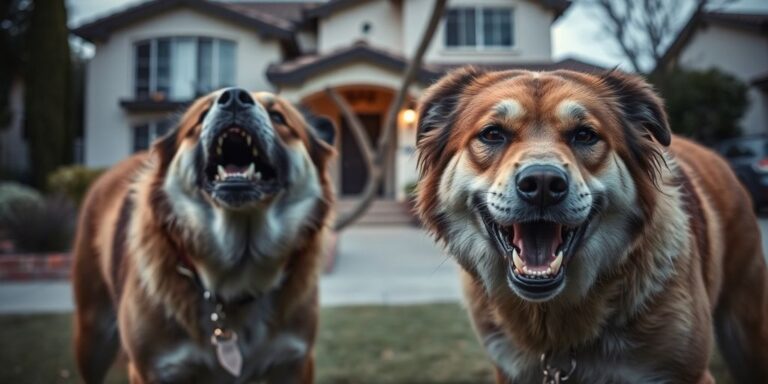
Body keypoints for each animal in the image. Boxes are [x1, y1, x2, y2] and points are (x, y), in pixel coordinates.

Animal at [73, 88, 334, 384]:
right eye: (202, 114)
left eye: (278, 116)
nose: (234, 97)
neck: (237, 277)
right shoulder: (151, 369)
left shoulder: (295, 362)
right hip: (92, 335)